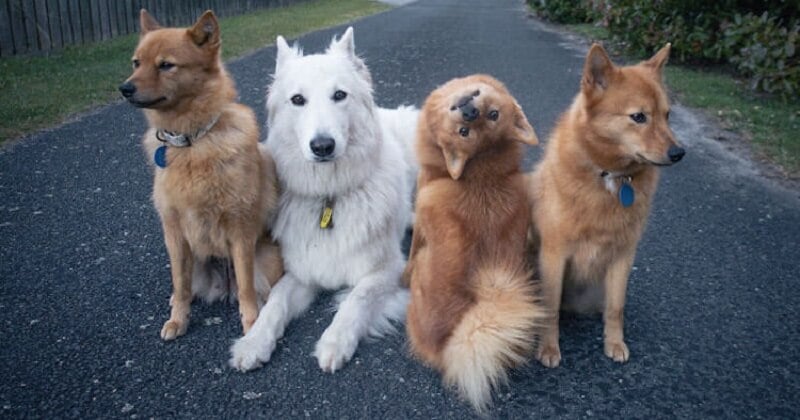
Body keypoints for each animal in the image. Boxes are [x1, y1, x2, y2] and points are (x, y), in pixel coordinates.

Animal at [117, 9, 282, 342]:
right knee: (184, 285)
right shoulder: (175, 235)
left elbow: (247, 289)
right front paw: (178, 320)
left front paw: (250, 324)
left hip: (265, 261)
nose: (125, 89)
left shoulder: (240, 232)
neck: (191, 141)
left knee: (254, 288)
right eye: (136, 62)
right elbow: (180, 287)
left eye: (166, 65)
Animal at [228, 27, 418, 372]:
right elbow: (275, 302)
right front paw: (253, 341)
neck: (329, 198)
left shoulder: (387, 270)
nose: (322, 146)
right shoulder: (301, 273)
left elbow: (356, 299)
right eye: (297, 100)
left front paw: (335, 341)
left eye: (339, 95)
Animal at [406, 74, 544, 412]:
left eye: (492, 116)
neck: (481, 169)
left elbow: (411, 252)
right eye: (464, 132)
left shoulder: (422, 203)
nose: (469, 111)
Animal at [528, 43, 684, 368]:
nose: (679, 153)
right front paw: (548, 347)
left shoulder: (622, 257)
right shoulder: (554, 254)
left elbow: (616, 308)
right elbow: (550, 309)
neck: (610, 177)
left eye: (667, 115)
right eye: (638, 117)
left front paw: (614, 342)